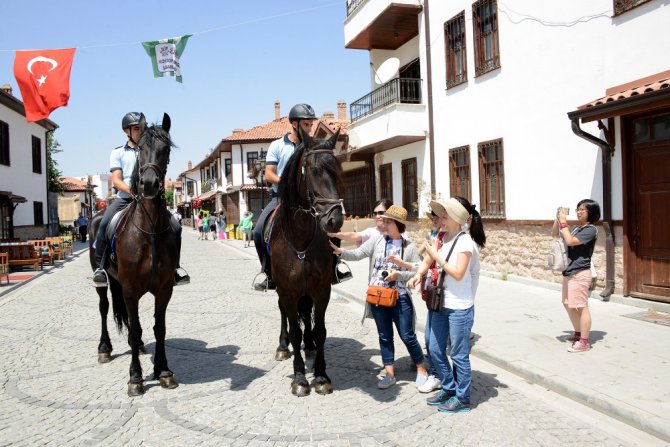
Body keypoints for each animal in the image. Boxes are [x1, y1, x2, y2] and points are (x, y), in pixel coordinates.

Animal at [88, 114, 178, 398]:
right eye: (140, 149)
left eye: (166, 148)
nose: (149, 185)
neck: (149, 231)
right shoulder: (129, 289)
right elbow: (136, 325)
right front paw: (136, 378)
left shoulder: (164, 289)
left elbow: (159, 328)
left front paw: (163, 371)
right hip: (104, 281)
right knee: (104, 308)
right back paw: (104, 349)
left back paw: (136, 346)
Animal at [272, 128, 346, 398]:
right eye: (312, 170)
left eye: (337, 169)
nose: (334, 220)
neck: (300, 237)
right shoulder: (287, 291)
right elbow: (294, 331)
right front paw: (300, 378)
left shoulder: (321, 290)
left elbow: (320, 330)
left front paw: (322, 377)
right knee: (285, 314)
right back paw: (282, 347)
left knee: (306, 315)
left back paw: (310, 347)